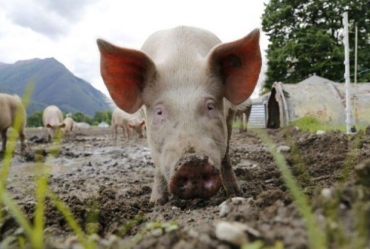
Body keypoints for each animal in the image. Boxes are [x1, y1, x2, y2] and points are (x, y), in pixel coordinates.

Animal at [97, 25, 262, 204]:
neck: (182, 60)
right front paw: (156, 202)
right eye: (159, 112)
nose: (192, 163)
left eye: (210, 106)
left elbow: (225, 155)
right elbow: (158, 165)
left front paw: (236, 194)